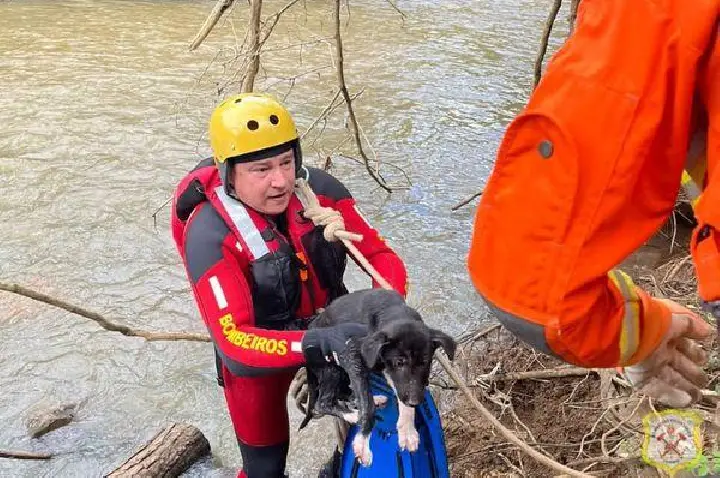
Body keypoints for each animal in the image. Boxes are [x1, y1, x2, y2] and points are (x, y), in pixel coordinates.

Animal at [300, 288, 456, 466]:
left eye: (425, 362)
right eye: (399, 362)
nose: (415, 401)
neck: (393, 311)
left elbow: (401, 392)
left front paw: (407, 430)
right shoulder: (352, 356)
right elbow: (368, 406)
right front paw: (362, 444)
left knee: (346, 393)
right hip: (331, 368)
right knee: (323, 402)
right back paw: (352, 415)